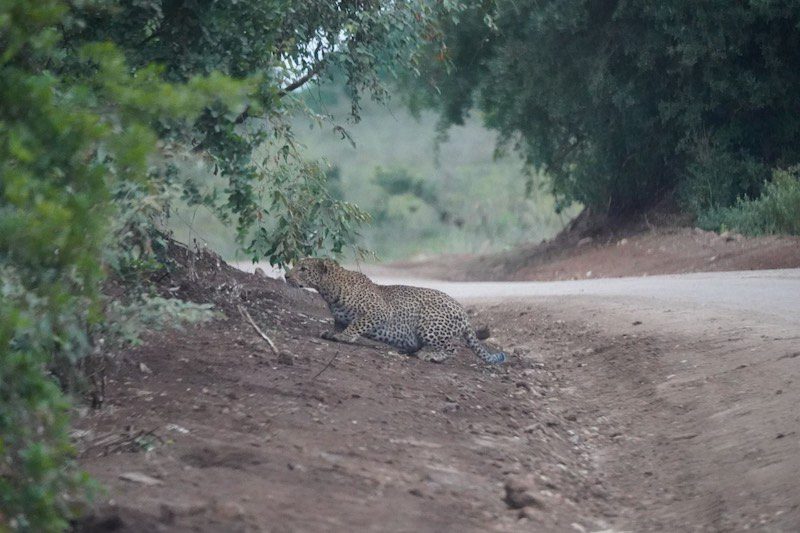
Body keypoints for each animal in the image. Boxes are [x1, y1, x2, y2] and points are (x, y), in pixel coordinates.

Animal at [284, 258, 506, 364]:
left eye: (303, 269)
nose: (286, 276)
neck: (328, 290)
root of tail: (463, 311)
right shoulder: (339, 317)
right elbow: (338, 323)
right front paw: (332, 333)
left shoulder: (379, 312)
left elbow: (357, 324)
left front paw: (345, 337)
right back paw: (413, 350)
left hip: (429, 326)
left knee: (452, 348)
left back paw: (430, 356)